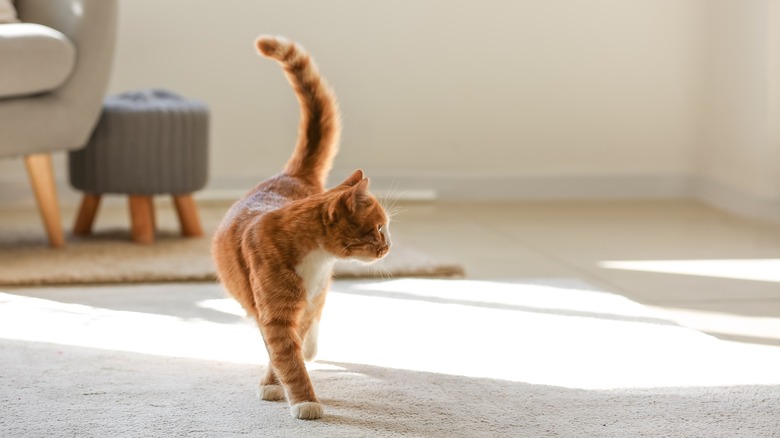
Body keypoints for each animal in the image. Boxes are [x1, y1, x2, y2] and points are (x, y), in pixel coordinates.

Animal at [212, 36, 390, 420]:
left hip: (317, 297)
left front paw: (279, 384)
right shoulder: (276, 315)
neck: (316, 258)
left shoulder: (304, 306)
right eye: (380, 228)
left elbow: (286, 352)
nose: (388, 246)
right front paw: (304, 400)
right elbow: (285, 357)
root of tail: (291, 175)